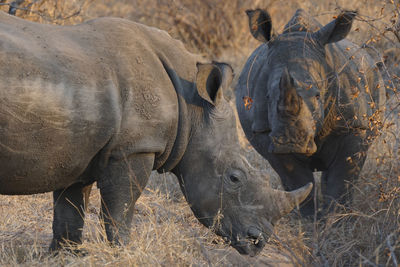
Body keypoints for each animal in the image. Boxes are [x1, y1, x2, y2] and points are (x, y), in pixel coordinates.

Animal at [0, 11, 312, 256]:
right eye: (234, 178)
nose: (258, 243)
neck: (193, 106)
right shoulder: (134, 147)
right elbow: (120, 209)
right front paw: (123, 251)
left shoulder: (80, 151)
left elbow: (70, 208)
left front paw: (67, 255)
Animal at [236, 9, 386, 217]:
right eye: (267, 96)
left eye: (317, 96)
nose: (290, 142)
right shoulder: (264, 131)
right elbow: (297, 180)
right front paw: (309, 220)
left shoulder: (354, 126)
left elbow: (341, 180)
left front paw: (336, 220)